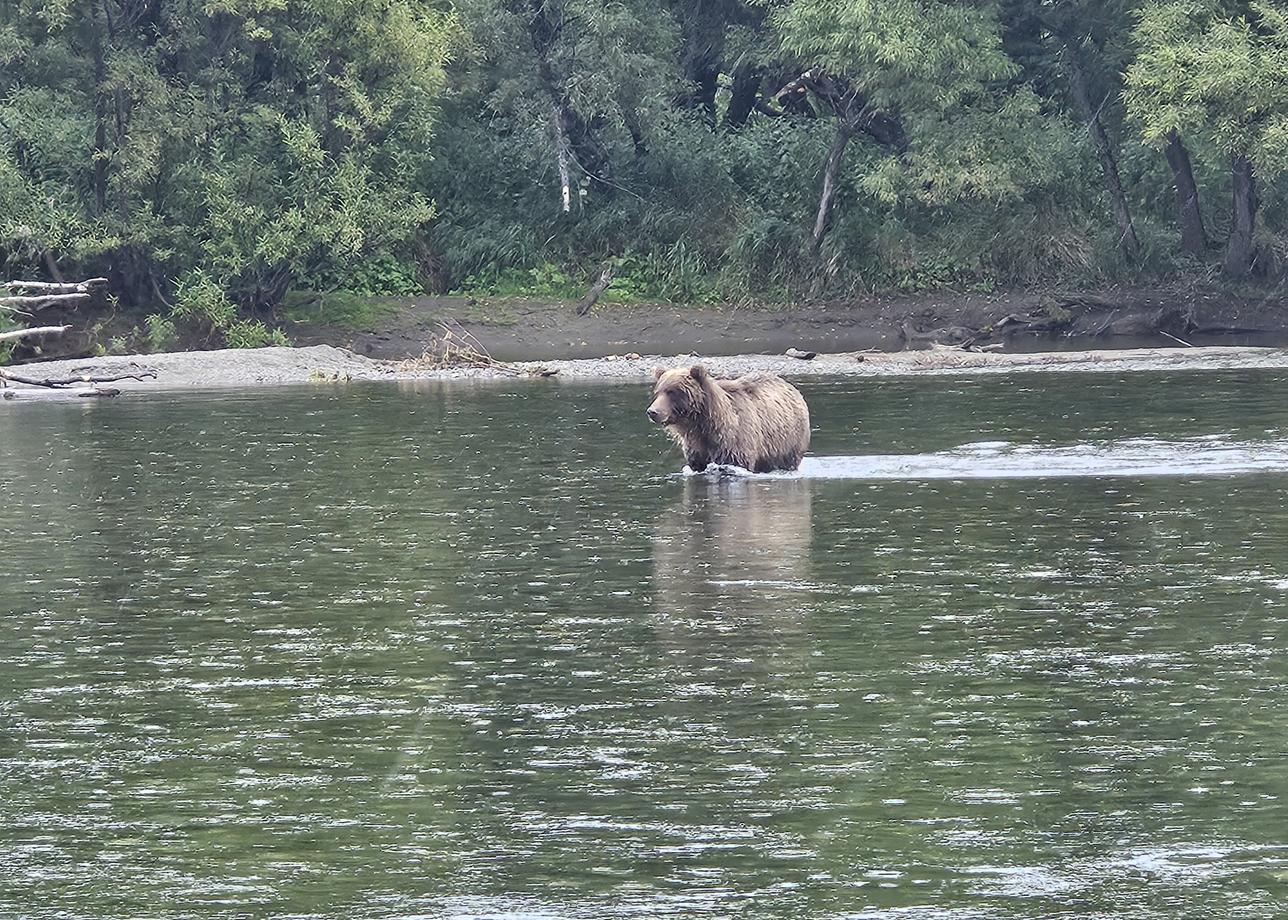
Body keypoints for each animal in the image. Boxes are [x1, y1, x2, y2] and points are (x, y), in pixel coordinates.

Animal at [649, 360, 808, 469]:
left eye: (672, 391)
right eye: (658, 392)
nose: (652, 412)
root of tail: (791, 387)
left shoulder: (735, 443)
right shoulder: (696, 448)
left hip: (789, 441)